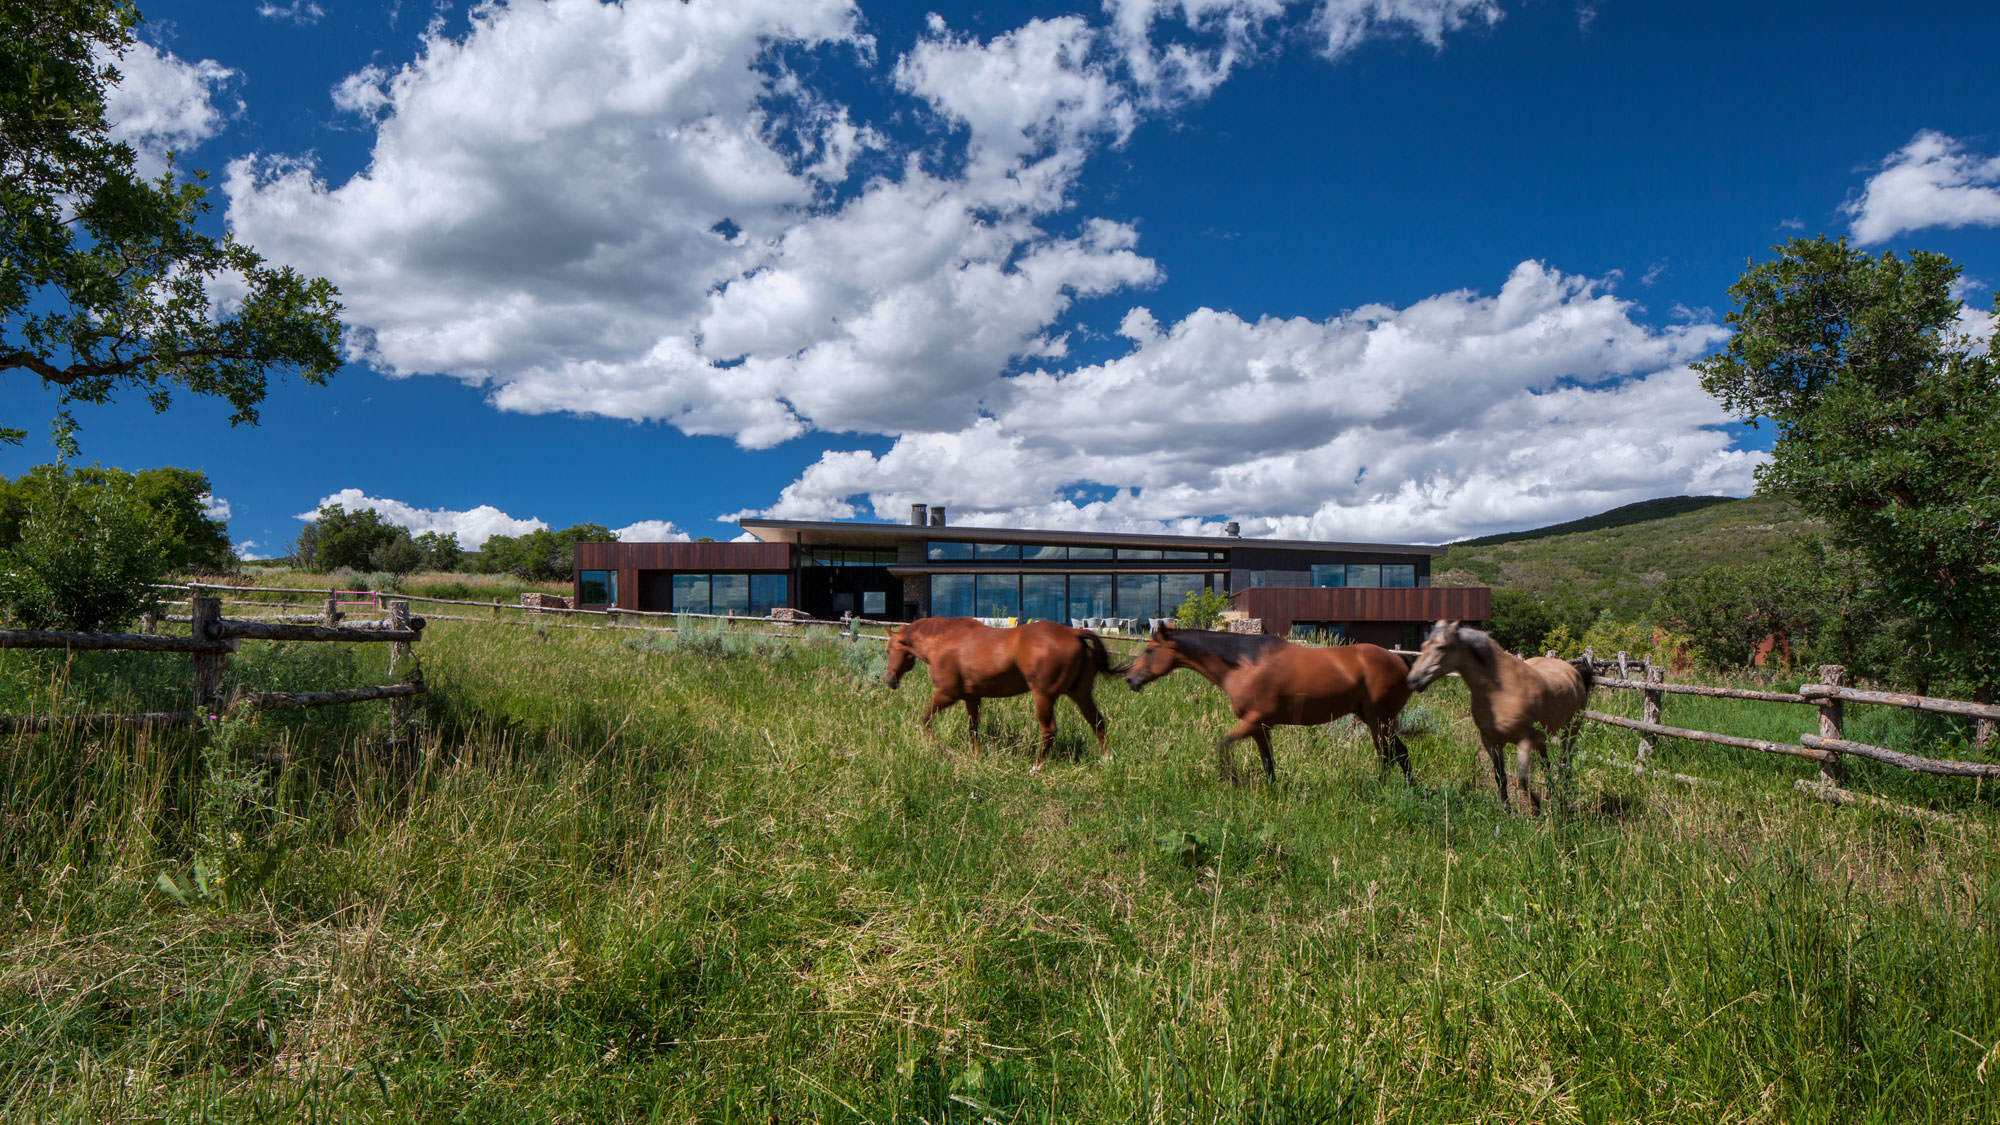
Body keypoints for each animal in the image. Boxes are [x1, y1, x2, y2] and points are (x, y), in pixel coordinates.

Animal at [884, 616, 1120, 764]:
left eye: (888, 650)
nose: (889, 681)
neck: (943, 641)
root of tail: (1074, 633)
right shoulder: (972, 698)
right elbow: (973, 730)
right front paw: (975, 759)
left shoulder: (946, 694)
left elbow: (925, 719)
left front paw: (940, 749)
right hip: (1080, 694)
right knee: (1098, 722)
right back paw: (1107, 760)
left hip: (1043, 696)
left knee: (1049, 731)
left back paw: (1036, 767)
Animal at [1120, 620, 1416, 780]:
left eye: (1149, 650)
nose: (1130, 679)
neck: (1243, 665)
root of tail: (1401, 662)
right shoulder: (1261, 728)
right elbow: (1267, 762)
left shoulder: (1253, 722)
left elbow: (1223, 745)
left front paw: (1232, 779)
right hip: (1374, 720)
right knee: (1396, 754)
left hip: (1380, 721)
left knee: (1391, 755)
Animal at [1408, 616, 1592, 808]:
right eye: (1423, 645)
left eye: (1441, 647)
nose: (1413, 680)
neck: (1502, 690)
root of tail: (1574, 672)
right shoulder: (1491, 741)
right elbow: (1500, 776)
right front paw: (1506, 808)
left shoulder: (1524, 741)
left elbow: (1522, 780)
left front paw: (1536, 806)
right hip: (1542, 738)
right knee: (1546, 765)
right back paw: (1551, 794)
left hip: (1570, 732)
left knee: (1565, 764)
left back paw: (1562, 796)